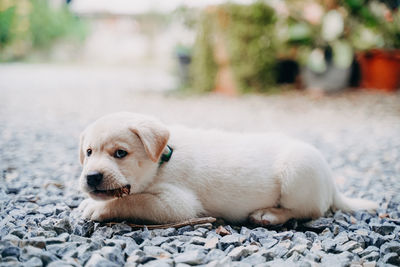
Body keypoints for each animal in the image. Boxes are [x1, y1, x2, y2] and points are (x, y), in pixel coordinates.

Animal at [78, 112, 378, 225]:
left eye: (120, 153)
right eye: (89, 153)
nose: (91, 177)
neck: (161, 161)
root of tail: (332, 183)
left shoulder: (176, 205)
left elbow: (134, 201)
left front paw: (97, 208)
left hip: (298, 173)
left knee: (308, 211)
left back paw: (269, 215)